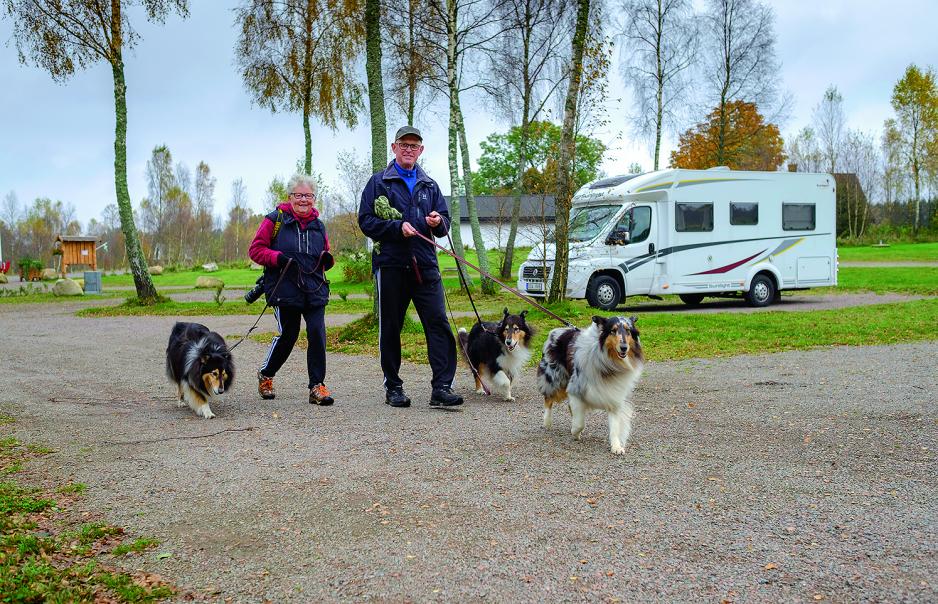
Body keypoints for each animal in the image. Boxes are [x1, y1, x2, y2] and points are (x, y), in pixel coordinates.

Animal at [536, 315, 644, 455]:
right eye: (613, 331)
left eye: (628, 330)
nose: (624, 347)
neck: (609, 364)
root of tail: (556, 331)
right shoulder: (575, 389)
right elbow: (580, 423)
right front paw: (575, 432)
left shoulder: (614, 395)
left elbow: (614, 426)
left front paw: (616, 446)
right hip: (555, 379)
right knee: (548, 399)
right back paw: (547, 422)